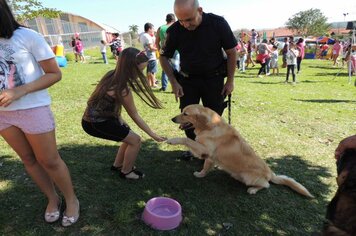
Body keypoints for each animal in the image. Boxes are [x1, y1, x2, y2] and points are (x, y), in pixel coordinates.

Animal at [165, 104, 312, 198]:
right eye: (182, 111)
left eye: (185, 114)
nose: (172, 119)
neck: (209, 127)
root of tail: (270, 173)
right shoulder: (209, 156)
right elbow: (206, 167)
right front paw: (201, 174)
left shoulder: (204, 149)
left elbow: (187, 140)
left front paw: (172, 140)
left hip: (249, 177)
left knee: (266, 185)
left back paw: (253, 189)